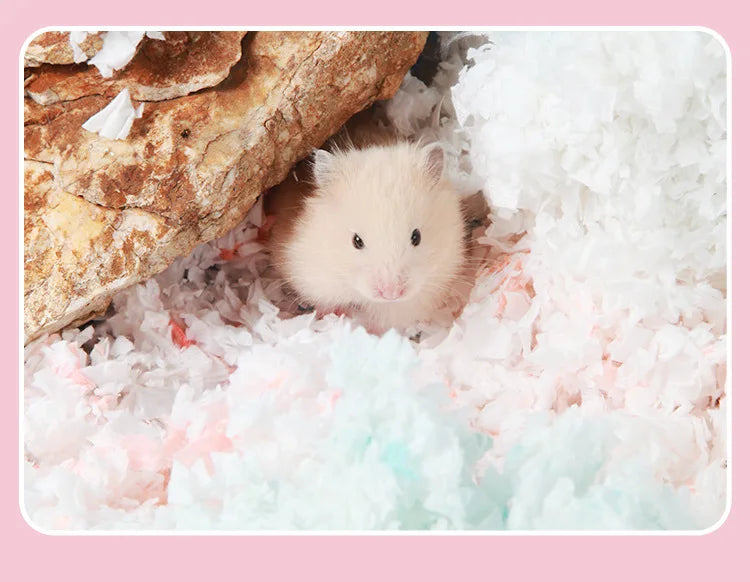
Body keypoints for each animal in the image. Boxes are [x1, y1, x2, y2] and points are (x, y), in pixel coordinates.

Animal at [264, 124, 468, 334]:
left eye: (416, 237)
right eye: (357, 241)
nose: (391, 294)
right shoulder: (310, 273)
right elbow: (325, 301)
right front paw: (336, 313)